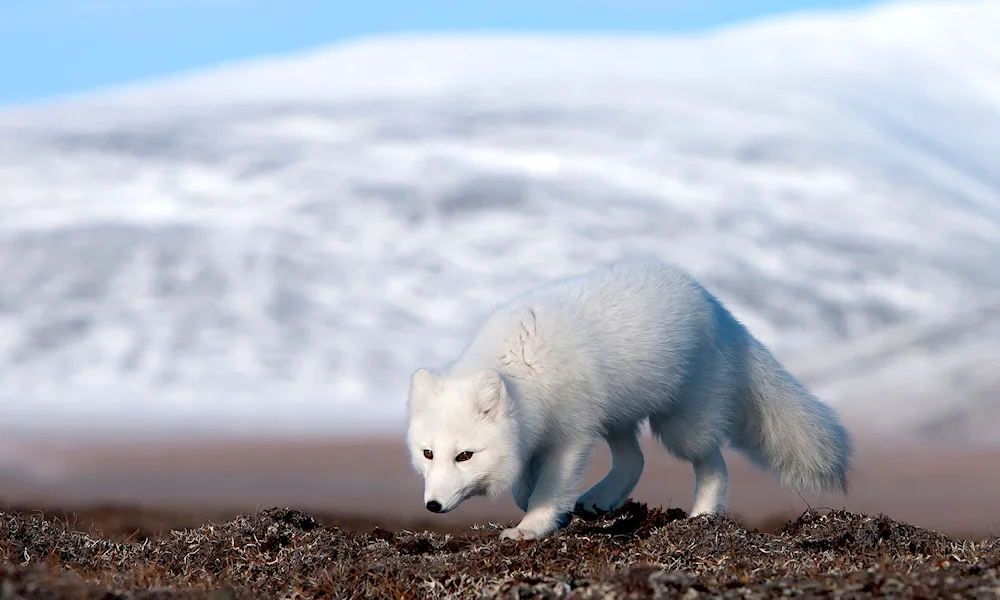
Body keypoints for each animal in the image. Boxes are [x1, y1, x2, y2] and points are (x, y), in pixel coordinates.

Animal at [406, 260, 852, 540]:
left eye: (464, 455)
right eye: (428, 453)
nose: (432, 505)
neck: (522, 365)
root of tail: (718, 307)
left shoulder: (572, 435)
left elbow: (550, 487)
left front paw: (532, 525)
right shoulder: (534, 432)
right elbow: (522, 481)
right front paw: (527, 497)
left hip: (680, 424)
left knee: (715, 465)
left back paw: (702, 516)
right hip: (616, 417)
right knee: (634, 459)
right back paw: (601, 499)